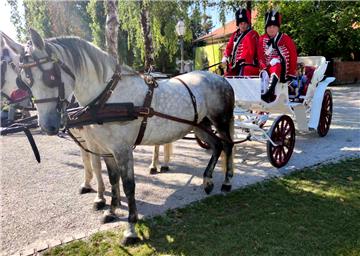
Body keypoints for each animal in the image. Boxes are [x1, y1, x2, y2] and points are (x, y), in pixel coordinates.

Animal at [11, 29, 235, 245]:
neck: (108, 97)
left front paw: (131, 229)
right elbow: (112, 179)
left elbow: (128, 186)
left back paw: (227, 181)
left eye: (50, 77)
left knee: (228, 145)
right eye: (25, 81)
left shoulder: (122, 150)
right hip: (199, 124)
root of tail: (220, 78)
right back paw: (207, 181)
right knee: (217, 146)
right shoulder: (106, 150)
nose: (47, 126)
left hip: (220, 121)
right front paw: (111, 211)